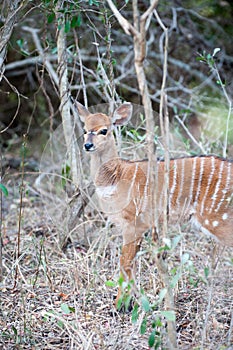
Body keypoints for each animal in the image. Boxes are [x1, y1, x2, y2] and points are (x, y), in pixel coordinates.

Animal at [77, 102, 233, 308]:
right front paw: (129, 303)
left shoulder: (133, 222)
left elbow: (124, 261)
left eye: (104, 130)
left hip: (217, 217)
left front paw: (119, 305)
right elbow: (131, 262)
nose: (88, 145)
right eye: (85, 129)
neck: (116, 177)